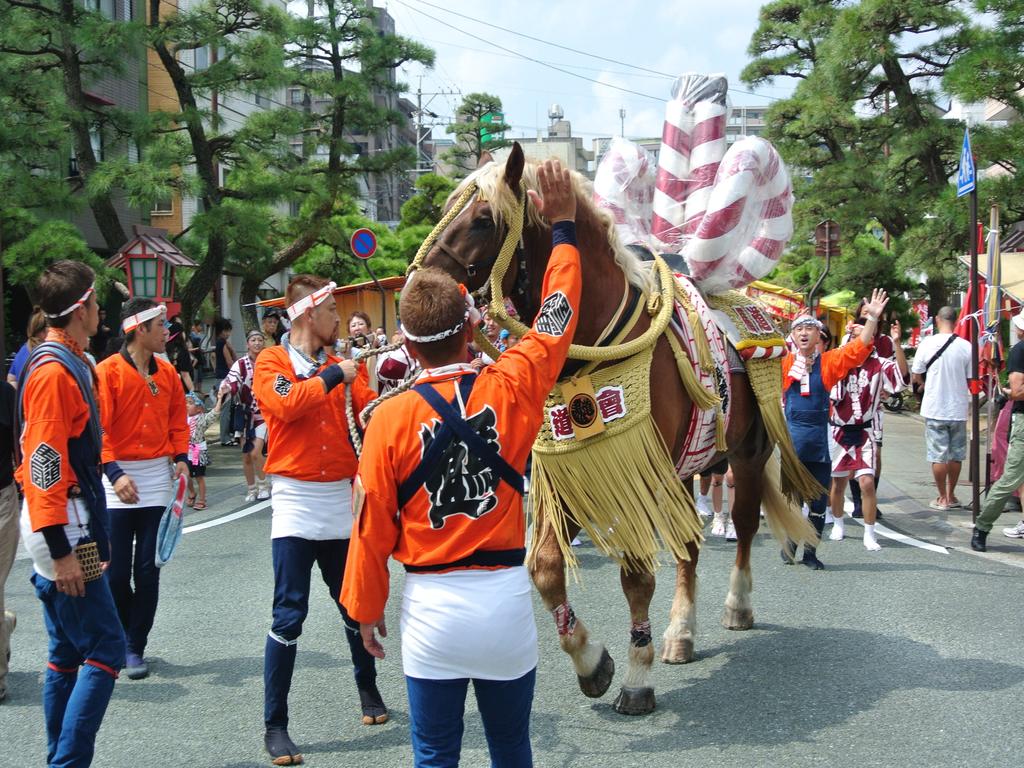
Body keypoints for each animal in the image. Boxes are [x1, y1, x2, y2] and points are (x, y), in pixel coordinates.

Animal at [417, 143, 815, 716]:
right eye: (447, 207)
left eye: (484, 219)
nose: (416, 285)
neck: (588, 345)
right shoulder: (570, 470)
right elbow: (545, 567)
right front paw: (592, 662)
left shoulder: (633, 469)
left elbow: (636, 576)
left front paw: (635, 677)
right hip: (684, 467)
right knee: (688, 546)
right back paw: (680, 633)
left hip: (748, 450)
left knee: (741, 524)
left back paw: (735, 606)